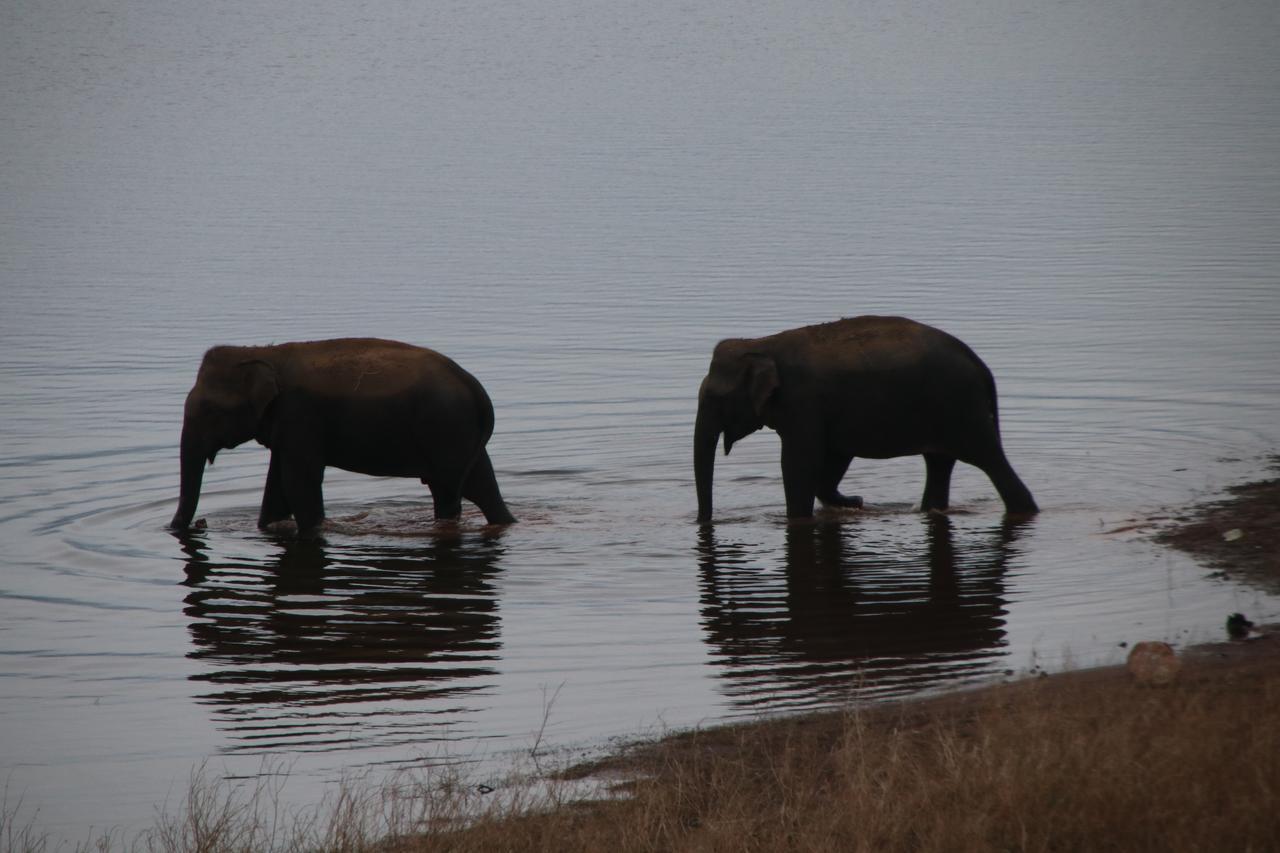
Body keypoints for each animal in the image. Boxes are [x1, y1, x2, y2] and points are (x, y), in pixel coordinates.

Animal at [167, 338, 517, 532]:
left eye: (210, 410)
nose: (198, 524)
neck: (265, 354)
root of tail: (475, 387)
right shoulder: (287, 426)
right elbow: (277, 484)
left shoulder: (300, 415)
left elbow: (299, 481)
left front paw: (313, 529)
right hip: (458, 433)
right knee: (471, 488)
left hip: (446, 429)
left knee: (460, 490)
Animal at [696, 315, 1034, 522]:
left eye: (715, 398)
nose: (703, 521)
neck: (760, 344)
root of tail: (980, 364)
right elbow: (834, 456)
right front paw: (850, 501)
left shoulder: (803, 403)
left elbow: (799, 463)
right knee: (939, 463)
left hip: (962, 409)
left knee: (988, 459)